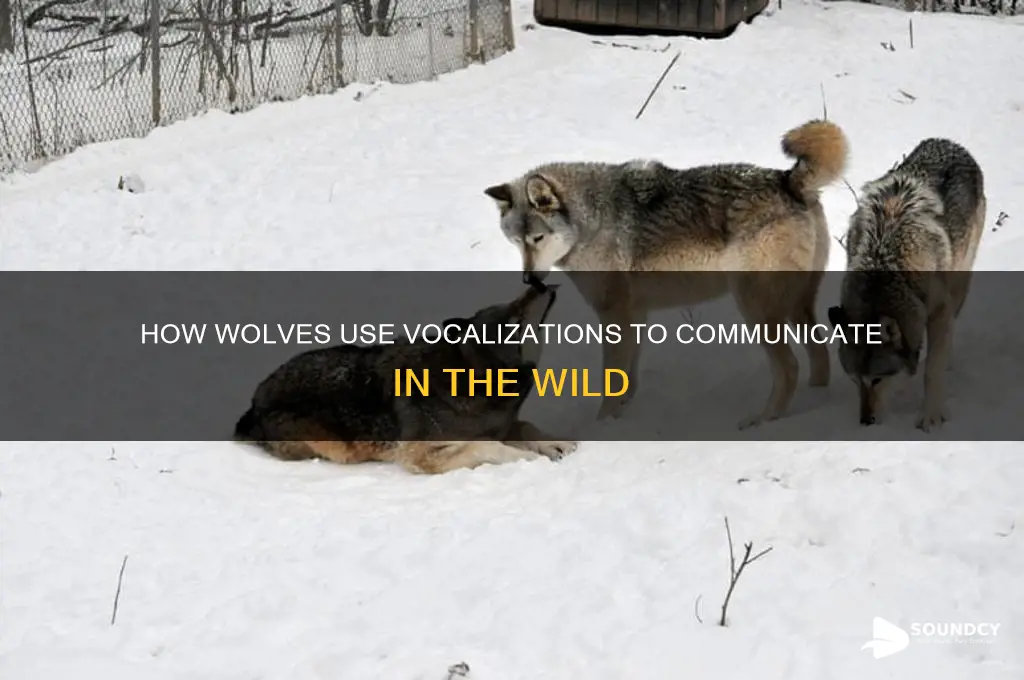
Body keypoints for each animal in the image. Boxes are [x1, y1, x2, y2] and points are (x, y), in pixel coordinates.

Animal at [233, 283, 578, 474]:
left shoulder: (504, 423)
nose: (539, 284)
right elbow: (488, 447)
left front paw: (554, 443)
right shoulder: (419, 454)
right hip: (331, 445)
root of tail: (253, 402)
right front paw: (527, 458)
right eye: (513, 317)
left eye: (514, 306)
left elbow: (525, 427)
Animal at [483, 119, 848, 429]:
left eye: (537, 239)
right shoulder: (635, 314)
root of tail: (788, 179)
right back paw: (817, 400)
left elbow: (612, 380)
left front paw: (602, 428)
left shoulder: (613, 314)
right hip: (795, 307)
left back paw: (762, 421)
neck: (590, 221)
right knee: (819, 354)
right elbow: (628, 379)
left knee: (790, 368)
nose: (529, 280)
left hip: (754, 309)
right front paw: (620, 419)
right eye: (515, 242)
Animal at [827, 138, 986, 431]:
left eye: (877, 379)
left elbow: (931, 370)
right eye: (855, 380)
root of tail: (947, 142)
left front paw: (931, 416)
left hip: (960, 281)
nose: (866, 422)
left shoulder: (939, 310)